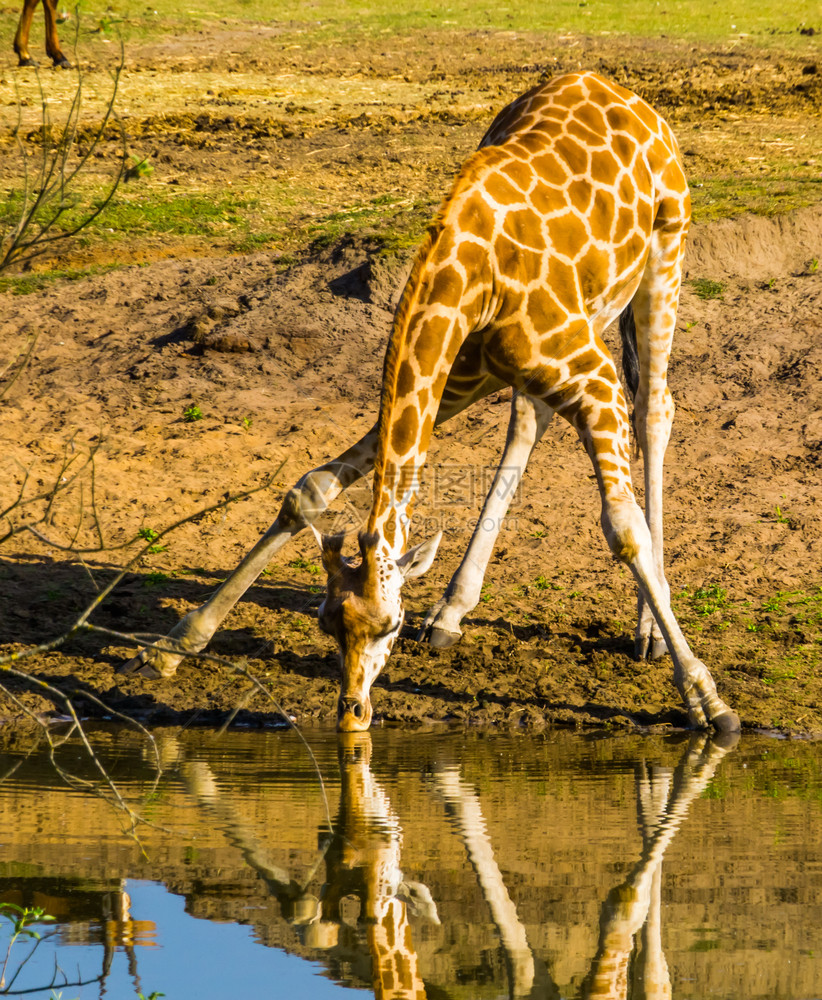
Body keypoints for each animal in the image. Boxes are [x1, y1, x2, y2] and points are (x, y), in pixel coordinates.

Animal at [120, 72, 740, 736]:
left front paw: (707, 700)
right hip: (557, 340)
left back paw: (649, 627)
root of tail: (628, 97)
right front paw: (172, 646)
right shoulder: (456, 374)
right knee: (531, 421)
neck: (469, 274)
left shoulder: (593, 380)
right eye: (327, 624)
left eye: (388, 625)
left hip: (664, 259)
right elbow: (310, 490)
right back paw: (452, 611)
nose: (353, 712)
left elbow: (623, 529)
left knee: (654, 408)